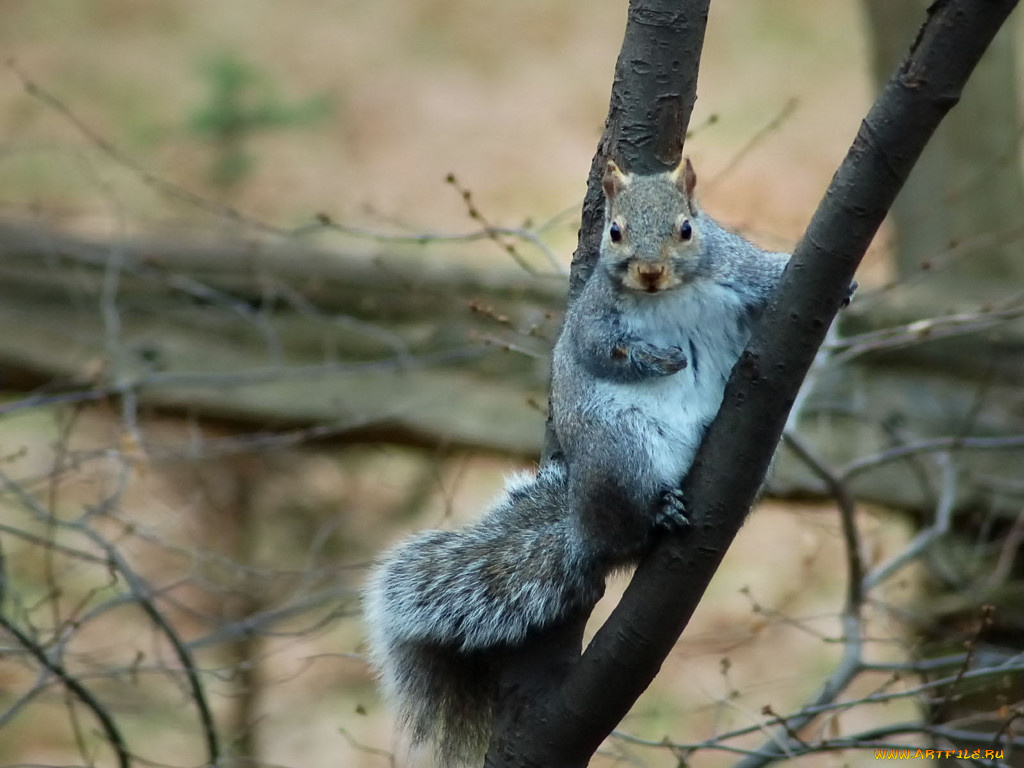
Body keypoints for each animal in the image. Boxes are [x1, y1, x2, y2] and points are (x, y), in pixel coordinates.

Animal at [364, 154, 794, 765]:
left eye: (687, 228)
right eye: (613, 232)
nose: (650, 272)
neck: (666, 295)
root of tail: (586, 525)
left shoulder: (738, 269)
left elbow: (768, 276)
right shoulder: (594, 317)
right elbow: (599, 350)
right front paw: (656, 358)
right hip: (621, 449)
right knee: (631, 527)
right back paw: (658, 511)